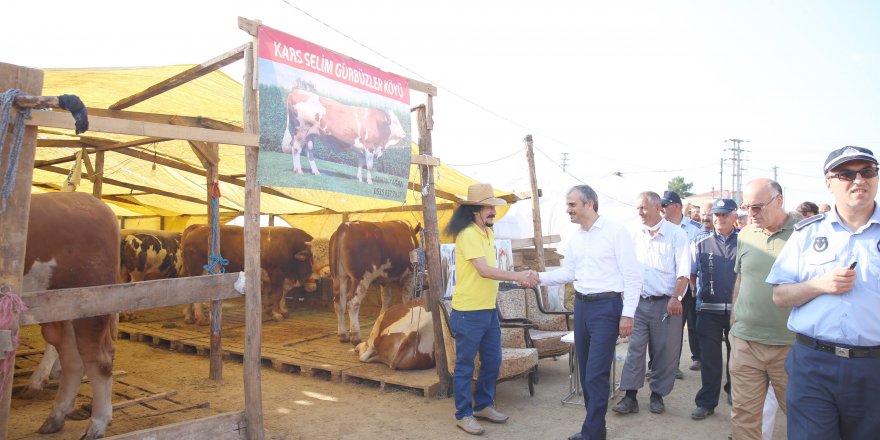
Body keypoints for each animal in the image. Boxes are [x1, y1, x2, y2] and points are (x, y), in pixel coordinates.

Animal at [21, 192, 117, 440]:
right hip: (65, 310)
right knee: (72, 358)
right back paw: (55, 418)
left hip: (90, 304)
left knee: (98, 360)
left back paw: (96, 425)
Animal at [180, 225, 314, 324]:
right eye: (313, 256)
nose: (313, 285)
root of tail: (198, 227)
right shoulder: (277, 273)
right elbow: (277, 294)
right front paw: (277, 314)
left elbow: (278, 294)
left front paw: (281, 310)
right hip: (197, 271)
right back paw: (201, 318)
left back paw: (189, 316)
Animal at [280, 88, 408, 185]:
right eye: (395, 122)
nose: (404, 134)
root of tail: (295, 90)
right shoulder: (370, 147)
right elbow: (369, 166)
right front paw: (370, 182)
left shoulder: (362, 150)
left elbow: (360, 164)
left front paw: (359, 179)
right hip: (301, 129)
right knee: (296, 148)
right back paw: (298, 170)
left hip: (309, 134)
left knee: (308, 150)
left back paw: (315, 172)